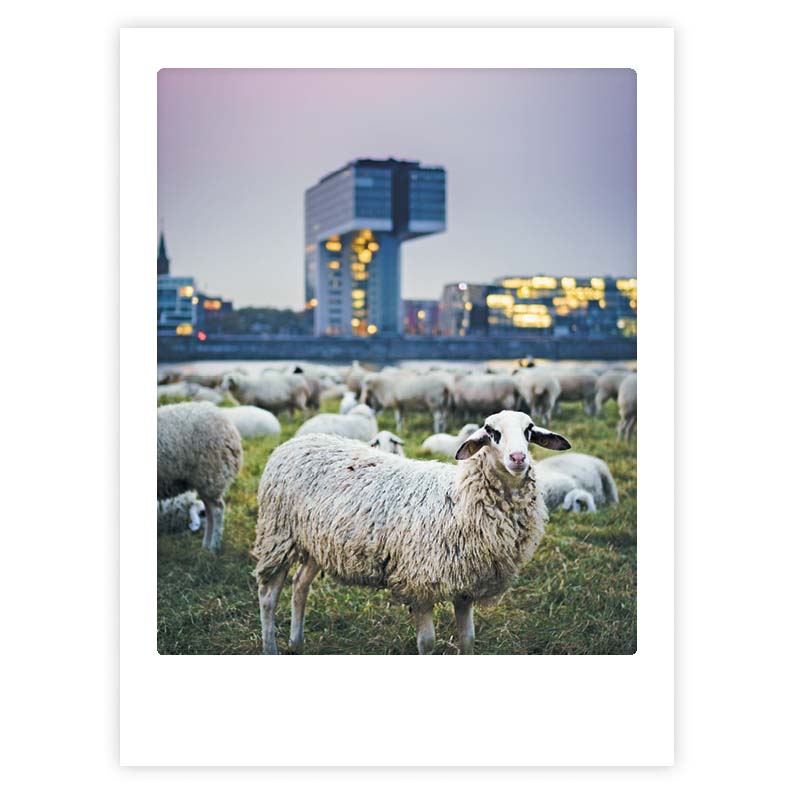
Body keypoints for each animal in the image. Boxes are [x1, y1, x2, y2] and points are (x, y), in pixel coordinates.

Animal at [157, 402, 243, 552]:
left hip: (212, 475)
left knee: (217, 510)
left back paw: (213, 547)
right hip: (204, 482)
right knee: (209, 512)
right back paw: (206, 547)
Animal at [252, 410, 570, 655]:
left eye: (529, 430)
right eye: (492, 432)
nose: (518, 458)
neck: (460, 498)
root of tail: (293, 442)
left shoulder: (466, 585)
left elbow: (468, 640)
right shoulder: (419, 581)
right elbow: (427, 643)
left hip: (316, 543)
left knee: (300, 585)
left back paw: (297, 643)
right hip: (278, 534)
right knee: (268, 594)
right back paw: (271, 648)